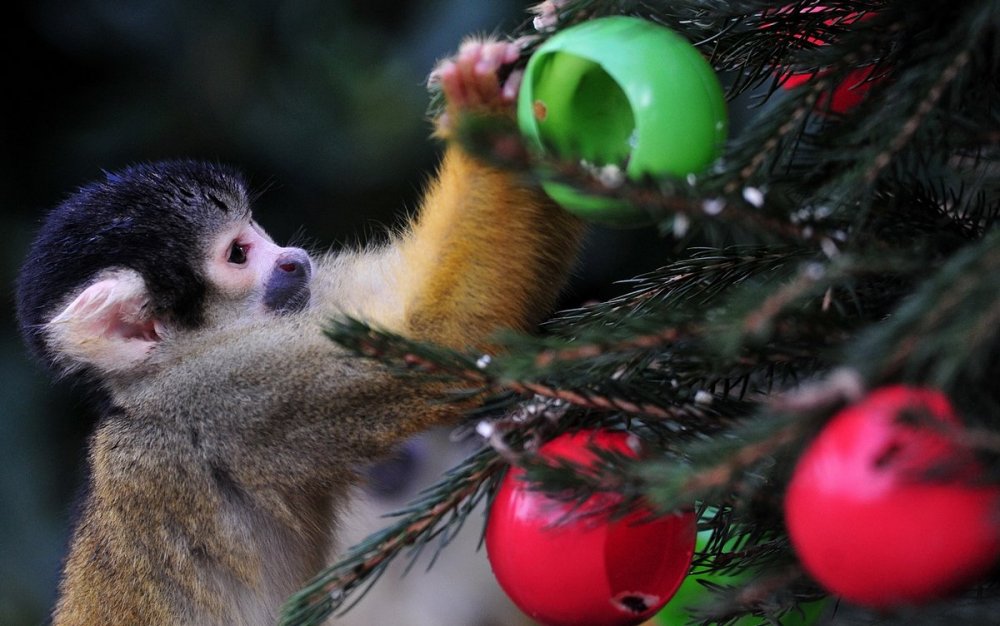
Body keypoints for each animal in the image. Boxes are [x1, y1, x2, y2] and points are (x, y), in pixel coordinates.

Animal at [15, 40, 584, 624]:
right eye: (239, 254)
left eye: (257, 232)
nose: (293, 258)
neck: (165, 370)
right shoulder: (229, 396)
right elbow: (442, 333)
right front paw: (486, 115)